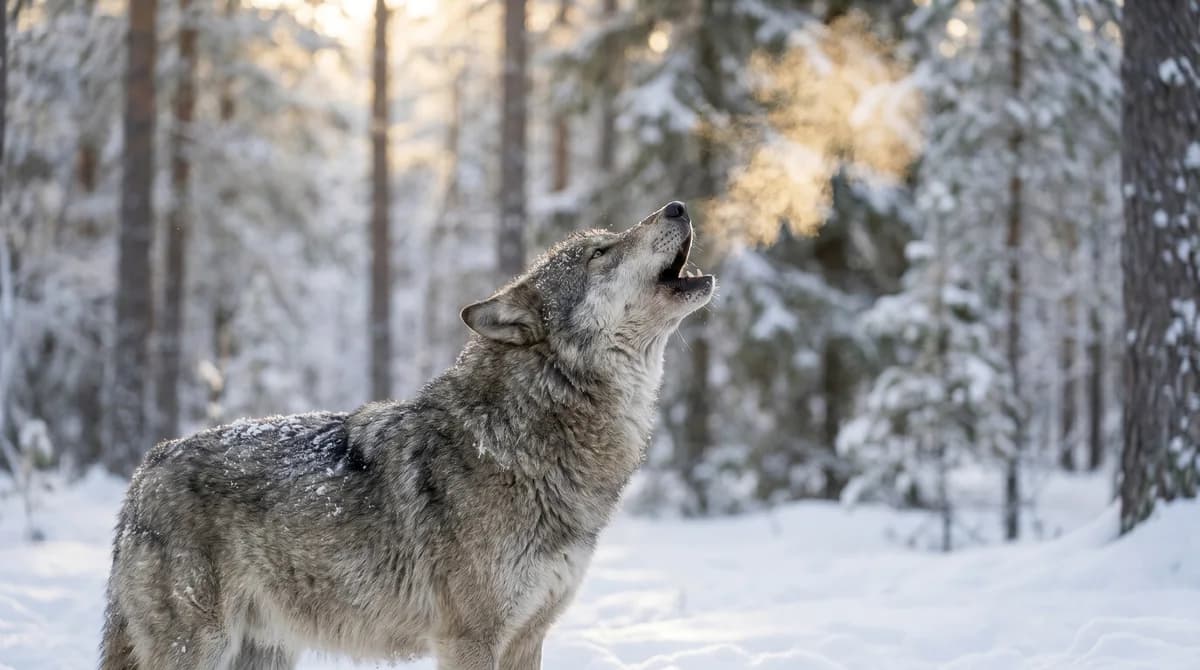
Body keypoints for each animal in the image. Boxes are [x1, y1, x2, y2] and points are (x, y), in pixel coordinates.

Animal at [100, 201, 714, 670]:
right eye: (600, 253)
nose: (678, 205)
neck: (524, 435)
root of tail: (146, 468)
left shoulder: (528, 637)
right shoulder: (470, 639)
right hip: (200, 648)